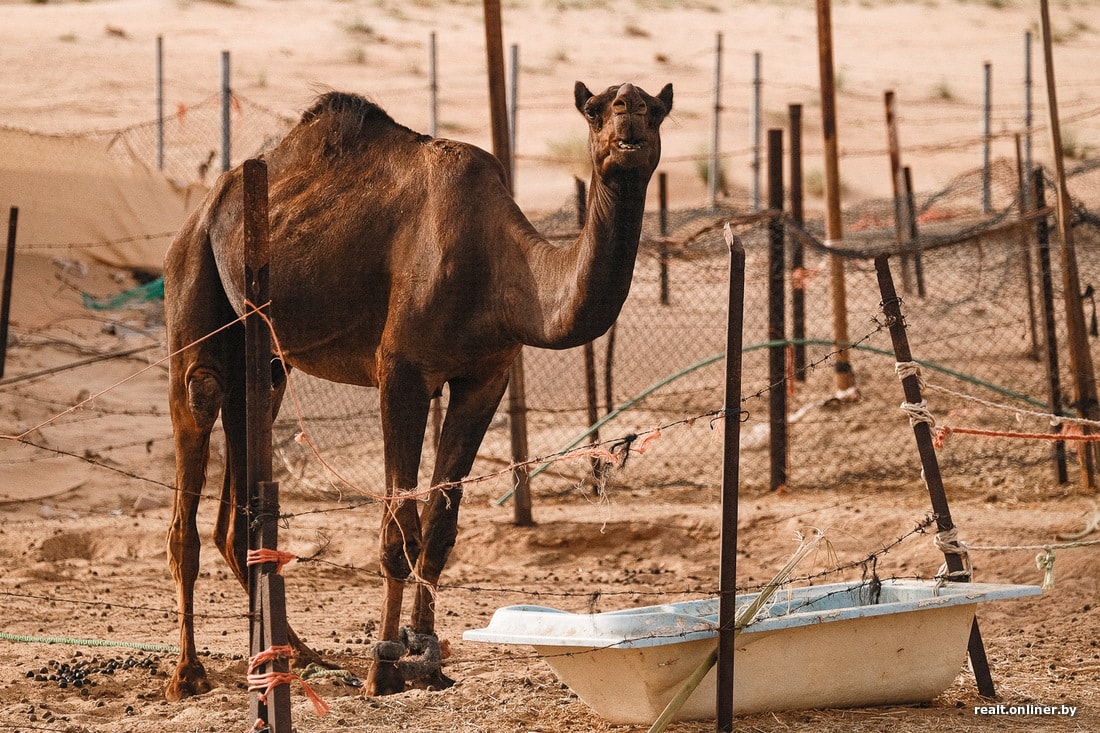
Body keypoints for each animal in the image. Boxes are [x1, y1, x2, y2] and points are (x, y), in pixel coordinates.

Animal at [161, 79, 668, 695]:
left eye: (656, 109)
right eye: (594, 110)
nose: (628, 110)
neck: (502, 270)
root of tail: (203, 210)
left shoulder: (484, 378)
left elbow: (440, 528)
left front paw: (430, 665)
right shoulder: (401, 373)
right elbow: (398, 533)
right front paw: (383, 671)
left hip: (265, 354)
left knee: (241, 489)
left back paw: (297, 657)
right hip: (192, 280)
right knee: (198, 411)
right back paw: (188, 673)